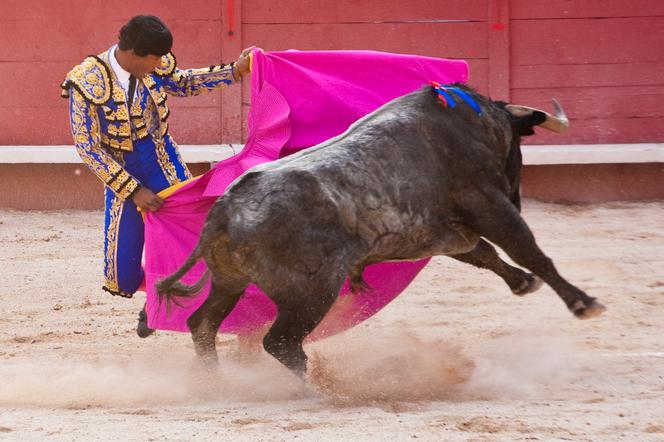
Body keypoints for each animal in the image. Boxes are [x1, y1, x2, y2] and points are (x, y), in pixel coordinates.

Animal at [157, 83, 608, 376]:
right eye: (518, 145)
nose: (519, 193)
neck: (475, 124)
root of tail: (224, 209)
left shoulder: (445, 233)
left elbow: (485, 254)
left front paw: (522, 283)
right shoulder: (491, 207)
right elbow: (529, 250)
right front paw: (583, 302)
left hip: (229, 281)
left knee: (203, 324)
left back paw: (214, 379)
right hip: (311, 293)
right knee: (280, 343)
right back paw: (321, 387)